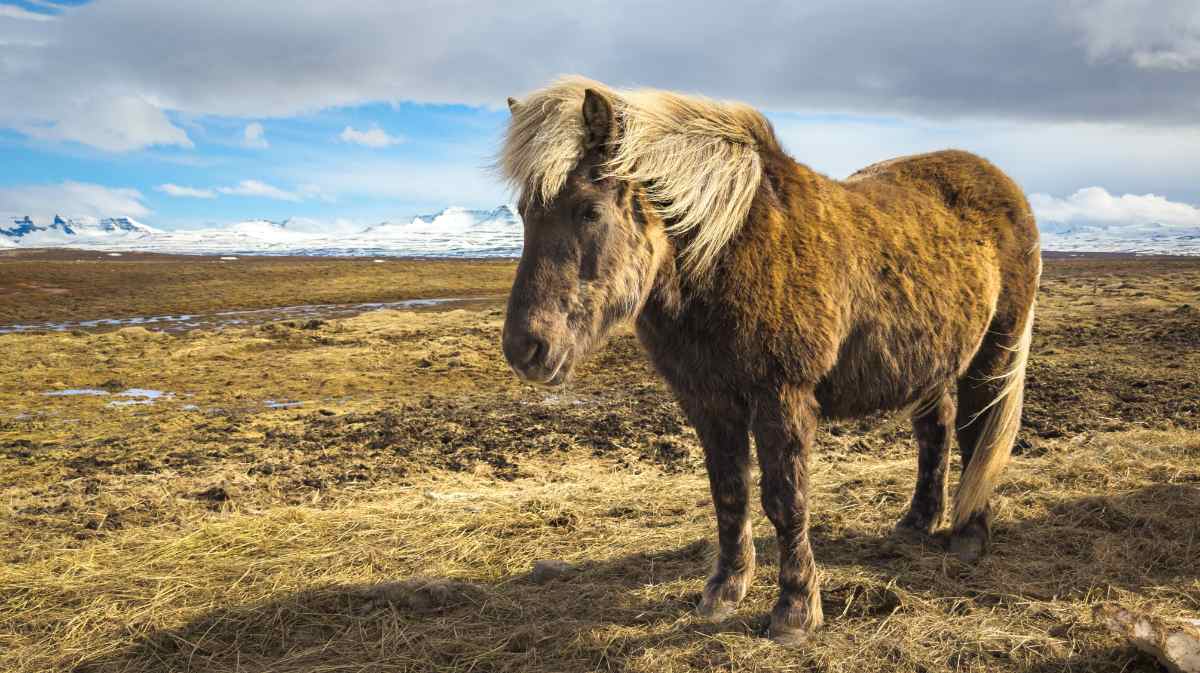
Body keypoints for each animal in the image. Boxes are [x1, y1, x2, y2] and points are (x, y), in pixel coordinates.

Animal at [497, 76, 1040, 645]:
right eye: (524, 213)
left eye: (590, 211)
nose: (525, 349)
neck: (726, 253)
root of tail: (1003, 185)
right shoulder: (708, 402)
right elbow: (729, 493)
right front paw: (724, 591)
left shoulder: (782, 397)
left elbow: (785, 500)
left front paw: (795, 611)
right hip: (929, 361)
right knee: (936, 431)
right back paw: (917, 522)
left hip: (993, 352)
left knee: (978, 431)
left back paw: (969, 535)